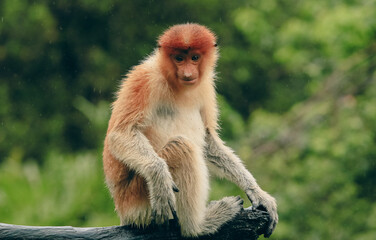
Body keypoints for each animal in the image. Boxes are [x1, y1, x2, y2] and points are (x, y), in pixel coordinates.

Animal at [104, 23, 278, 237]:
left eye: (194, 57)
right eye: (179, 58)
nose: (188, 73)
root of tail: (123, 211)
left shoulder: (206, 86)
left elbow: (208, 139)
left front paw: (257, 192)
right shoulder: (144, 79)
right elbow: (121, 133)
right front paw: (159, 177)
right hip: (138, 198)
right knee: (182, 147)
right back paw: (198, 226)